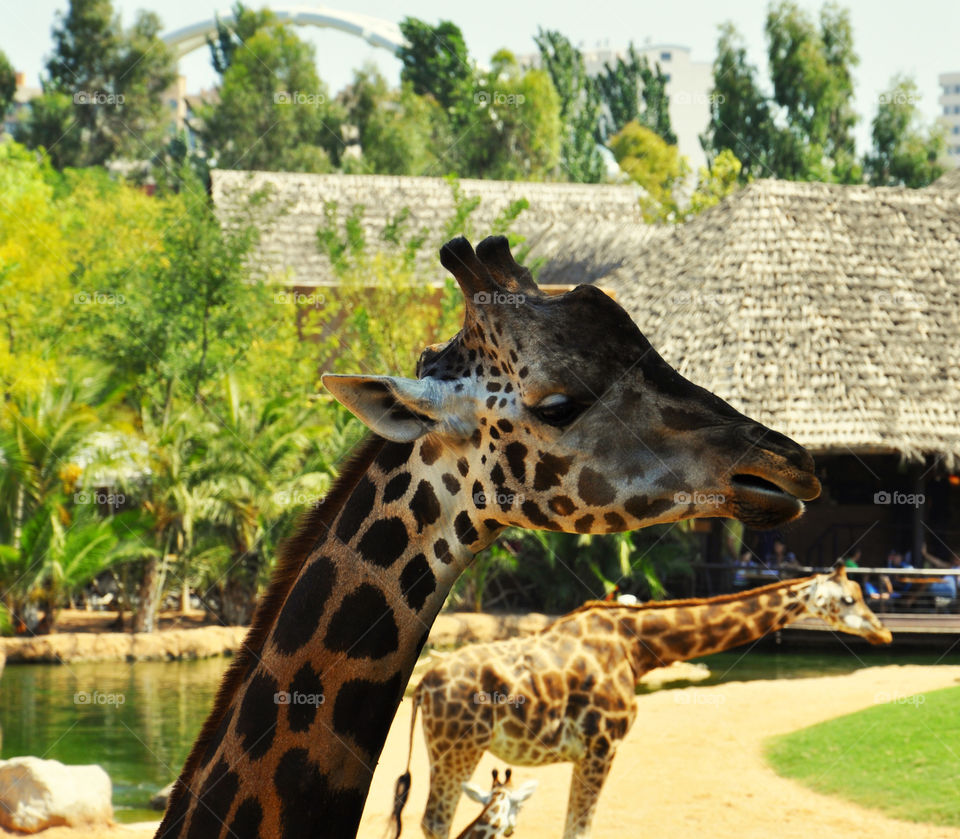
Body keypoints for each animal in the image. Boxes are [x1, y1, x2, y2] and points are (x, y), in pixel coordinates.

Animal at [396, 564, 884, 839]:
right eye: (849, 598)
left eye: (862, 595)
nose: (883, 632)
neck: (639, 649)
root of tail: (423, 686)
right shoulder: (602, 745)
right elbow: (578, 830)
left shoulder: (590, 751)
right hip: (460, 748)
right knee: (437, 821)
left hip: (448, 750)